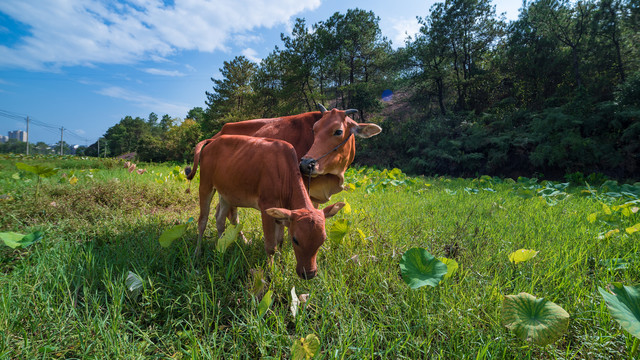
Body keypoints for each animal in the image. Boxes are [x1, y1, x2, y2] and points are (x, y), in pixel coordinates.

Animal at [194, 134, 344, 278]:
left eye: (323, 239)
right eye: (295, 239)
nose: (309, 274)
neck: (283, 173)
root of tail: (213, 141)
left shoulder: (282, 213)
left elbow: (280, 241)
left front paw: (280, 263)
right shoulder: (266, 207)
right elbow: (271, 246)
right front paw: (271, 272)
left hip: (225, 193)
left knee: (220, 220)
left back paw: (221, 247)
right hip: (205, 185)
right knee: (203, 220)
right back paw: (198, 252)